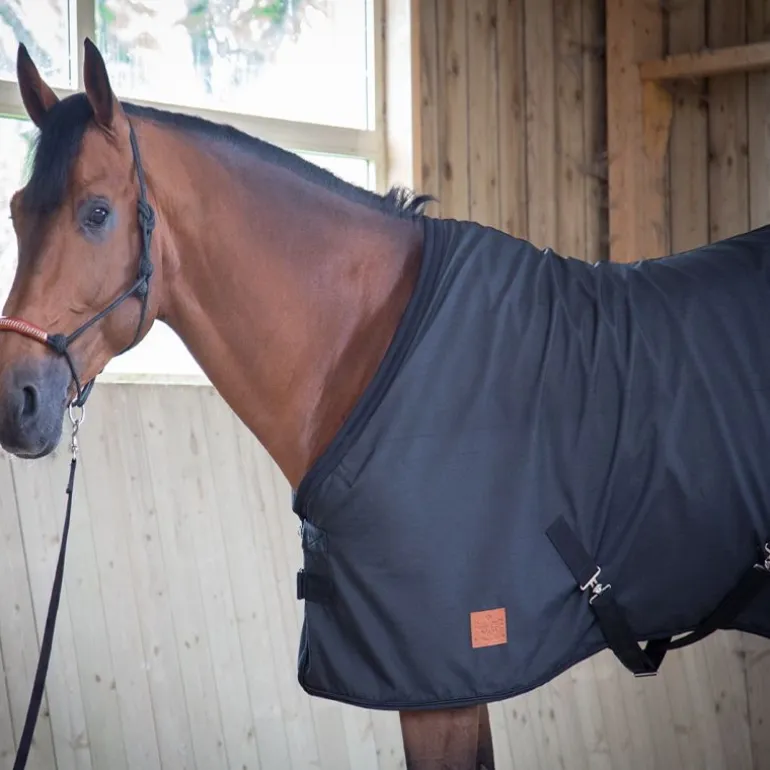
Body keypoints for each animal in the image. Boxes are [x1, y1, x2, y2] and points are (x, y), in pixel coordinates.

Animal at [2, 39, 770, 770]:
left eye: (97, 213)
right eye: (16, 212)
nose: (16, 400)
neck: (374, 345)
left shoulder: (439, 678)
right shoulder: (438, 676)